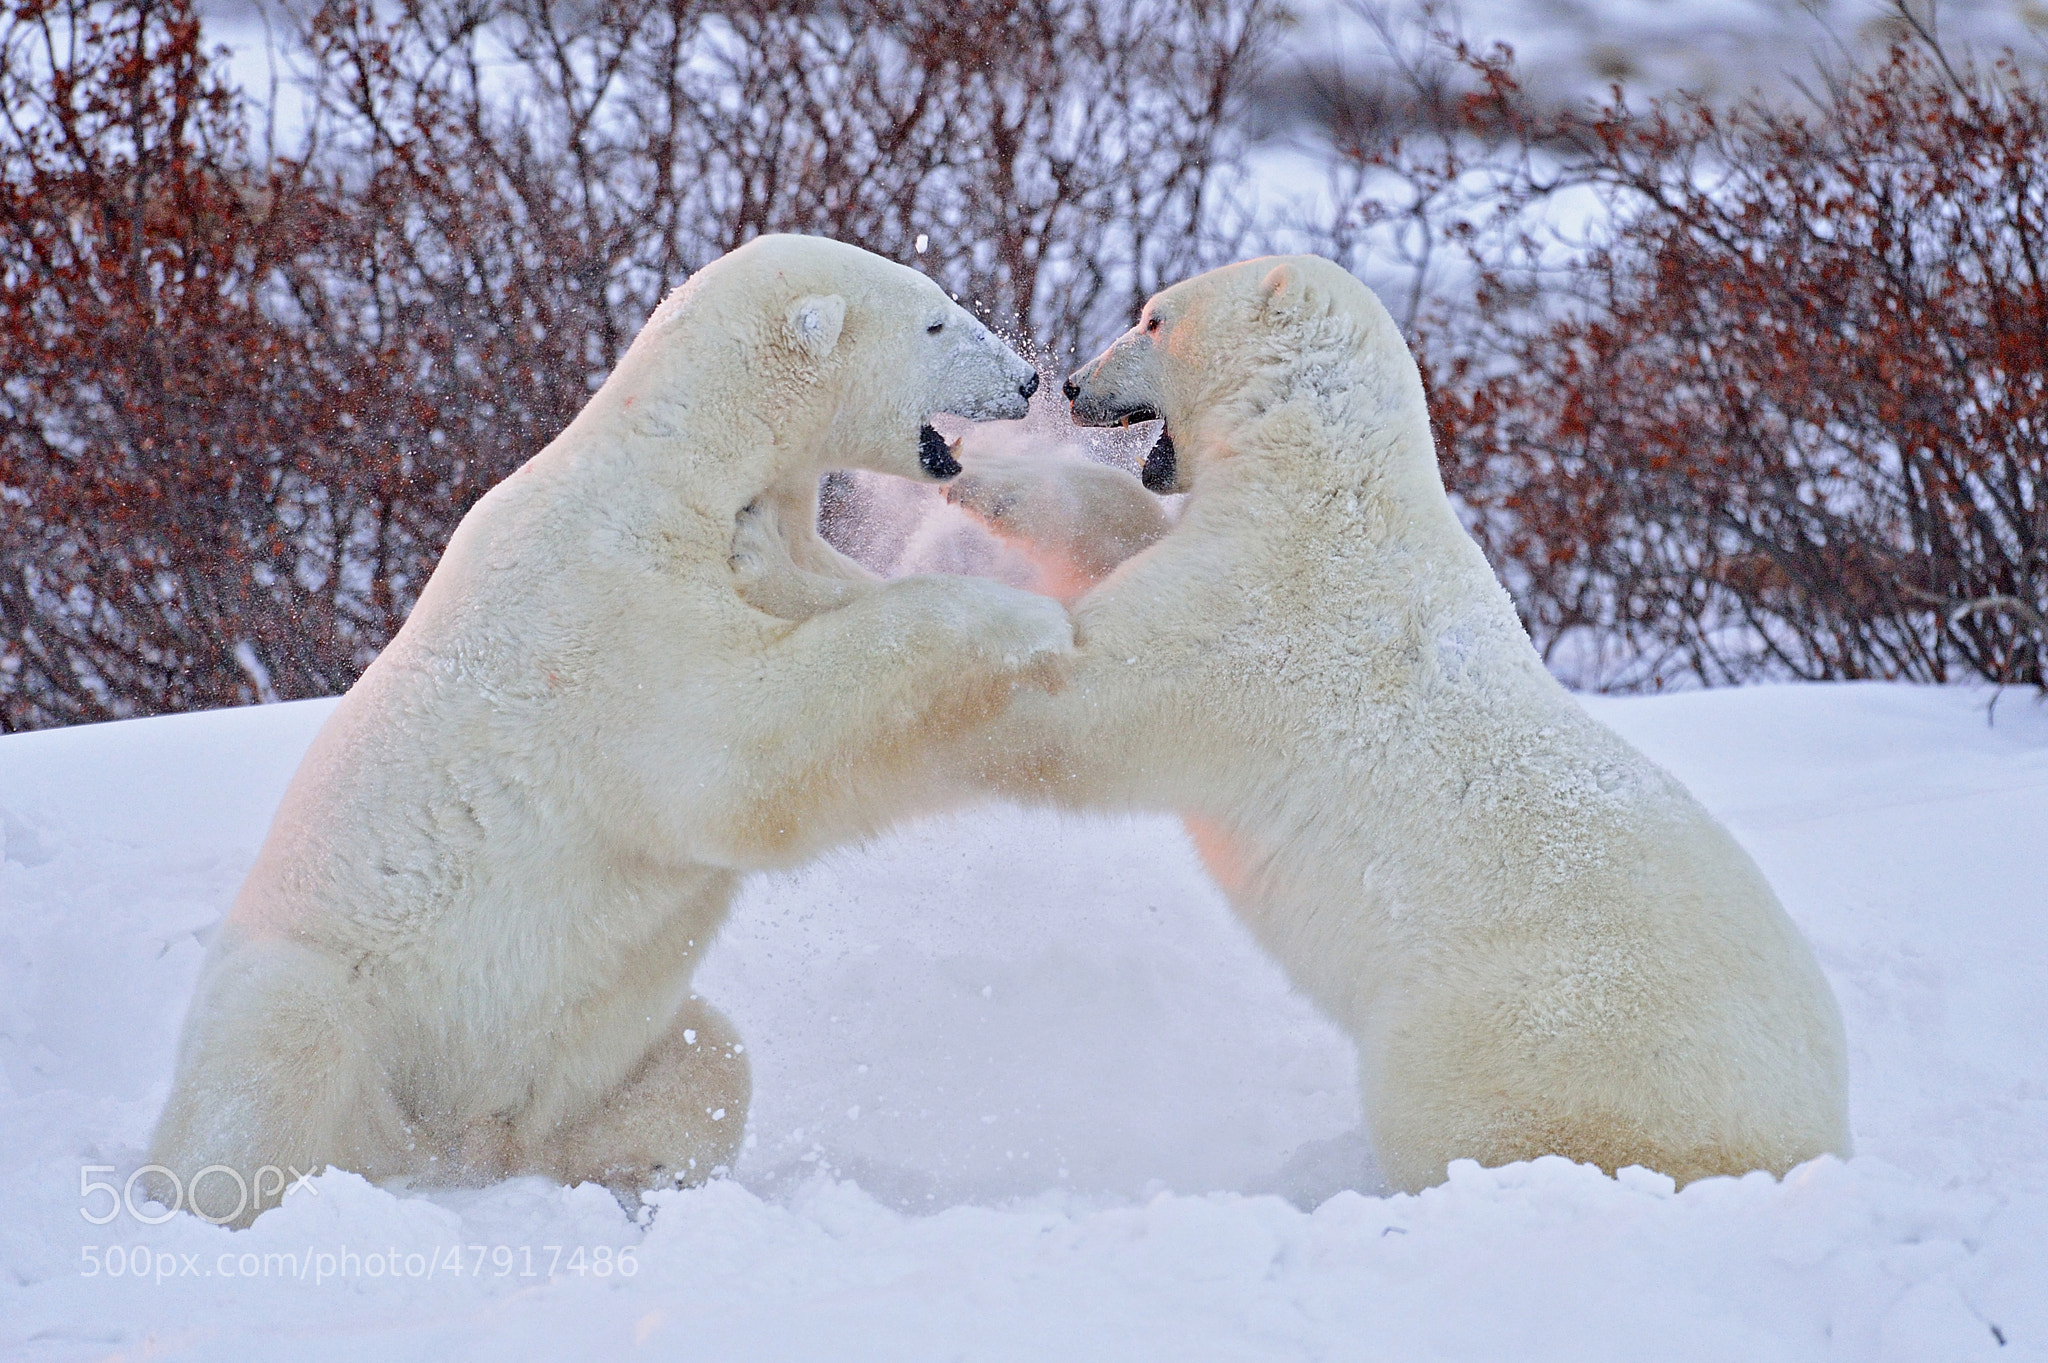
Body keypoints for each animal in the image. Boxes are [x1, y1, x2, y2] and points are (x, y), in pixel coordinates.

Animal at [149, 231, 1064, 1219]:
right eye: (936, 318)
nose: (1026, 380)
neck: (681, 468)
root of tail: (449, 1144)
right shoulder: (612, 615)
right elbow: (747, 753)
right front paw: (1022, 618)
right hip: (335, 990)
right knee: (276, 1062)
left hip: (573, 1076)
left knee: (704, 1057)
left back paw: (635, 1176)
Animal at [741, 254, 1859, 1186]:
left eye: (1153, 317)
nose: (1071, 385)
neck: (1332, 487)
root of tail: (1813, 1134)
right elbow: (1116, 534)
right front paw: (981, 466)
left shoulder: (1264, 616)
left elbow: (1094, 706)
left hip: (1527, 1036)